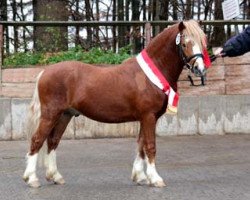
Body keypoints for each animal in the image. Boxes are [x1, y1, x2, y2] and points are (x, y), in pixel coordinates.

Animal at [23, 19, 207, 188]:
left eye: (202, 42)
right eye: (184, 43)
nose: (199, 69)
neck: (151, 74)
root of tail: (44, 72)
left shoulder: (145, 118)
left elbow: (140, 145)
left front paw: (139, 176)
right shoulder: (149, 116)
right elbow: (150, 146)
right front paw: (155, 179)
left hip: (64, 115)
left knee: (53, 141)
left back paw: (55, 176)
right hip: (50, 114)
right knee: (37, 140)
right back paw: (31, 179)